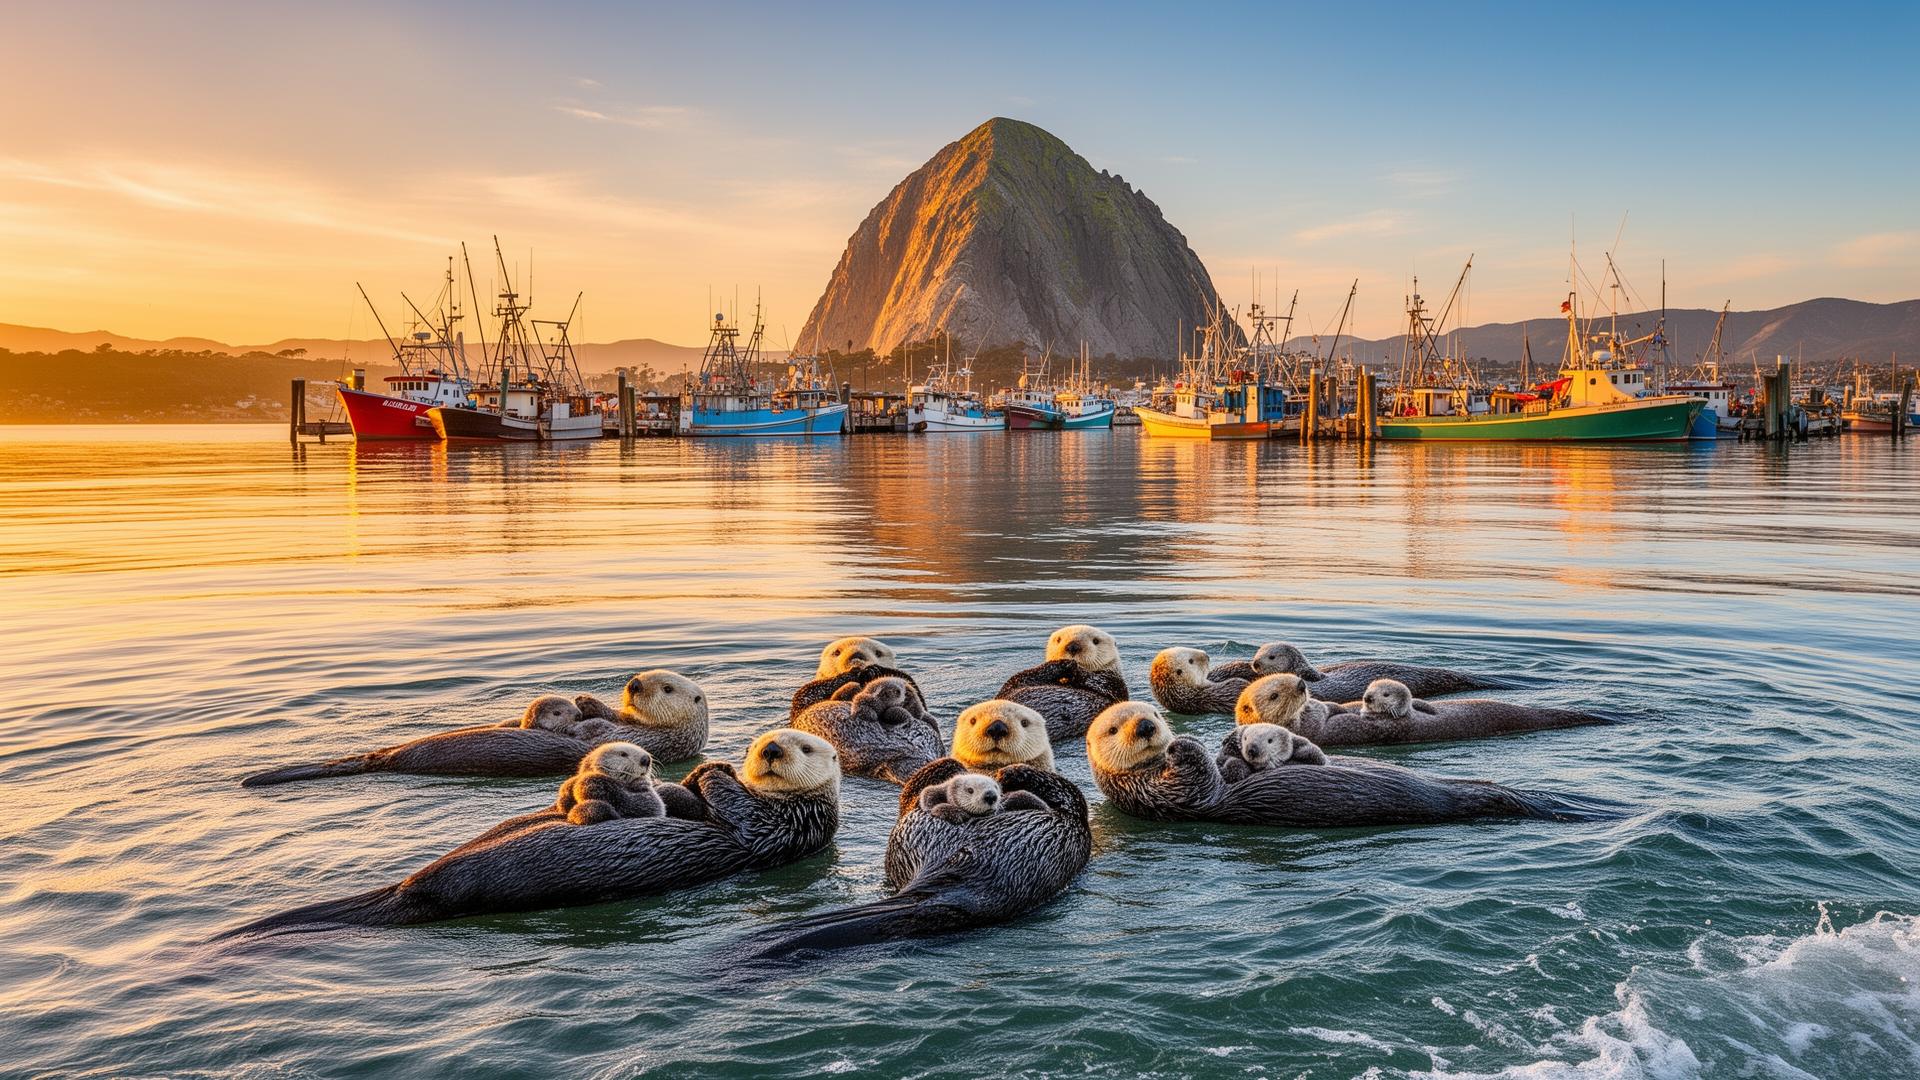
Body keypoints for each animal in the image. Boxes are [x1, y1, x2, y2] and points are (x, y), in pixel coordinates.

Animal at [220, 729, 842, 937]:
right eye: (763, 741)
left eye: (805, 746)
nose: (769, 750)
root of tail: (406, 890)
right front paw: (703, 771)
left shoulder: (787, 827)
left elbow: (745, 820)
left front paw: (714, 773)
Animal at [994, 624, 1130, 743]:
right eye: (1058, 639)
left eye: (1096, 641)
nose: (1073, 646)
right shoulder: (1011, 687)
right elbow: (1023, 676)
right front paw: (1065, 663)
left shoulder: (1114, 685)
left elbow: (1098, 681)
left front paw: (1073, 666)